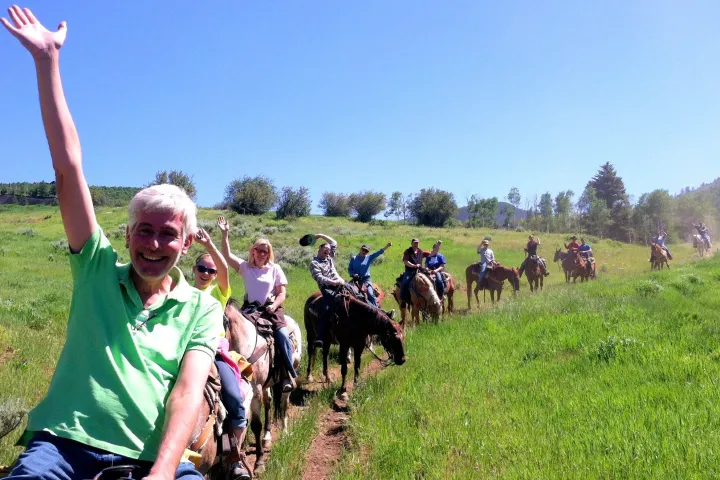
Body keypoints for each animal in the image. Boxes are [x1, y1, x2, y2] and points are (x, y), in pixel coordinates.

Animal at [224, 299, 302, 474]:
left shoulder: (256, 390)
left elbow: (255, 425)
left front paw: (259, 462)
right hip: (267, 385)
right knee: (269, 403)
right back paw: (267, 438)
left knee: (284, 403)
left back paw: (285, 432)